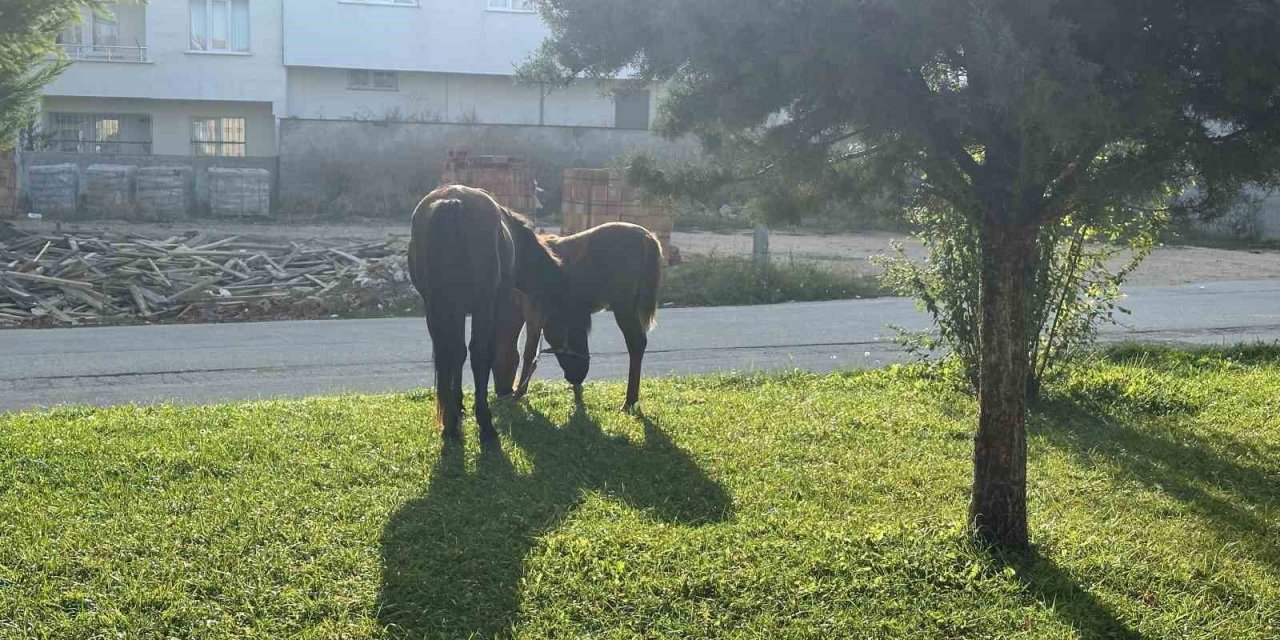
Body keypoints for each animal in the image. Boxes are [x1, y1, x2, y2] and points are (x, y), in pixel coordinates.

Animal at [407, 185, 563, 445]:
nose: (509, 392)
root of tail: (453, 202)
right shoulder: (495, 305)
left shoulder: (455, 310)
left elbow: (456, 355)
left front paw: (458, 405)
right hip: (480, 306)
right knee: (479, 354)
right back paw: (486, 424)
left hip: (437, 309)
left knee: (450, 352)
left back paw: (450, 425)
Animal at [494, 221, 665, 409]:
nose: (502, 392)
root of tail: (646, 237)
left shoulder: (534, 313)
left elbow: (529, 352)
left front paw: (520, 393)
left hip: (624, 308)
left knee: (636, 344)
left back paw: (629, 402)